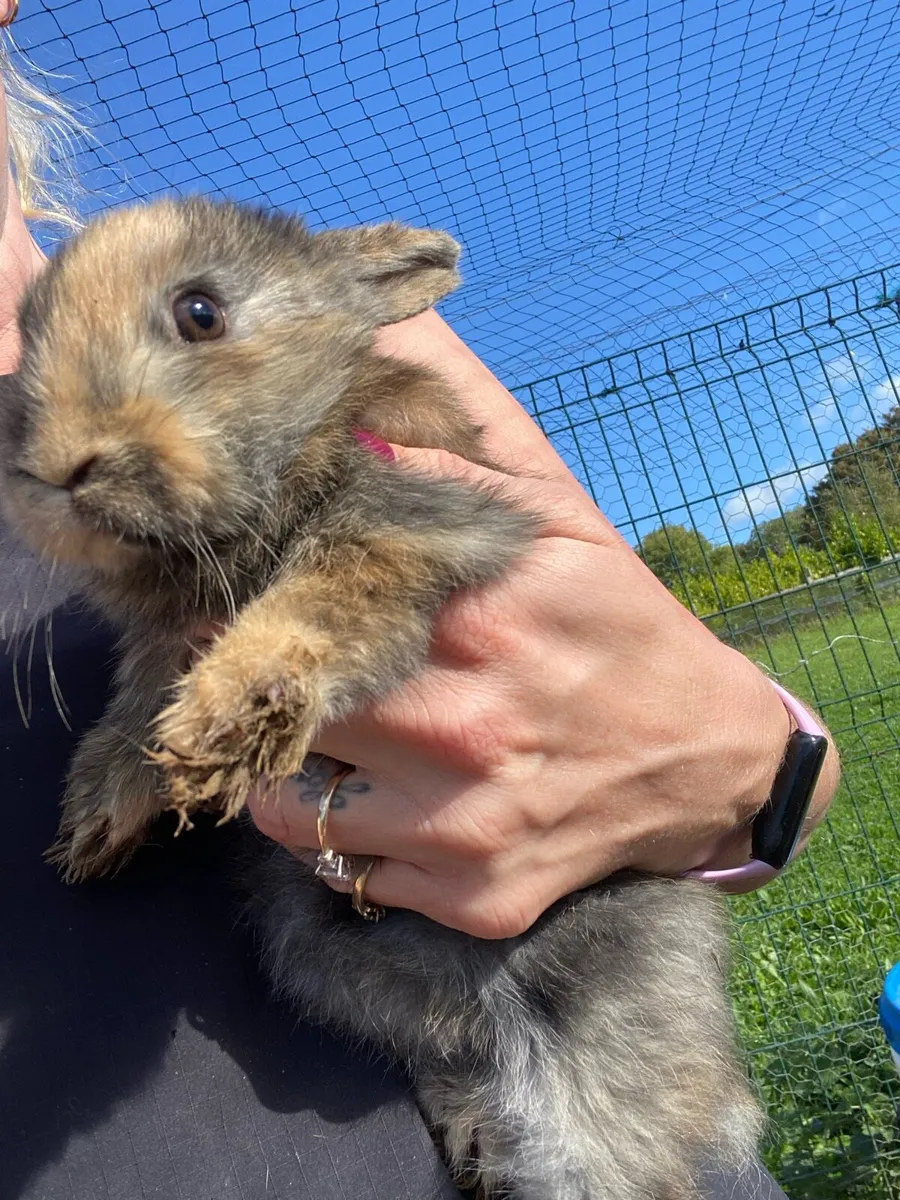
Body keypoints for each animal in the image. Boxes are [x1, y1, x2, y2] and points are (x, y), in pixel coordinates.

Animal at [0, 197, 762, 1199]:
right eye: (28, 332)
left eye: (200, 312)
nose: (58, 469)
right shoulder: (163, 644)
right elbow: (131, 713)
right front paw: (96, 823)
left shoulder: (412, 531)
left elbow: (316, 611)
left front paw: (223, 722)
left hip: (593, 1035)